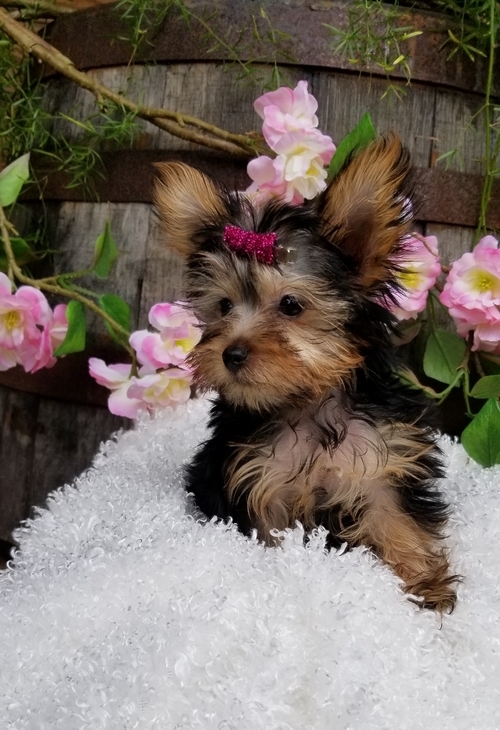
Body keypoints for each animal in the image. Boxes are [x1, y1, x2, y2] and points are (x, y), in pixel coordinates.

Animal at [155, 135, 458, 608]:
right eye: (223, 305)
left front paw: (426, 583)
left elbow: (397, 518)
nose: (231, 354)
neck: (309, 405)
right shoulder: (260, 483)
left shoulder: (382, 462)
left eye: (291, 305)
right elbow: (273, 538)